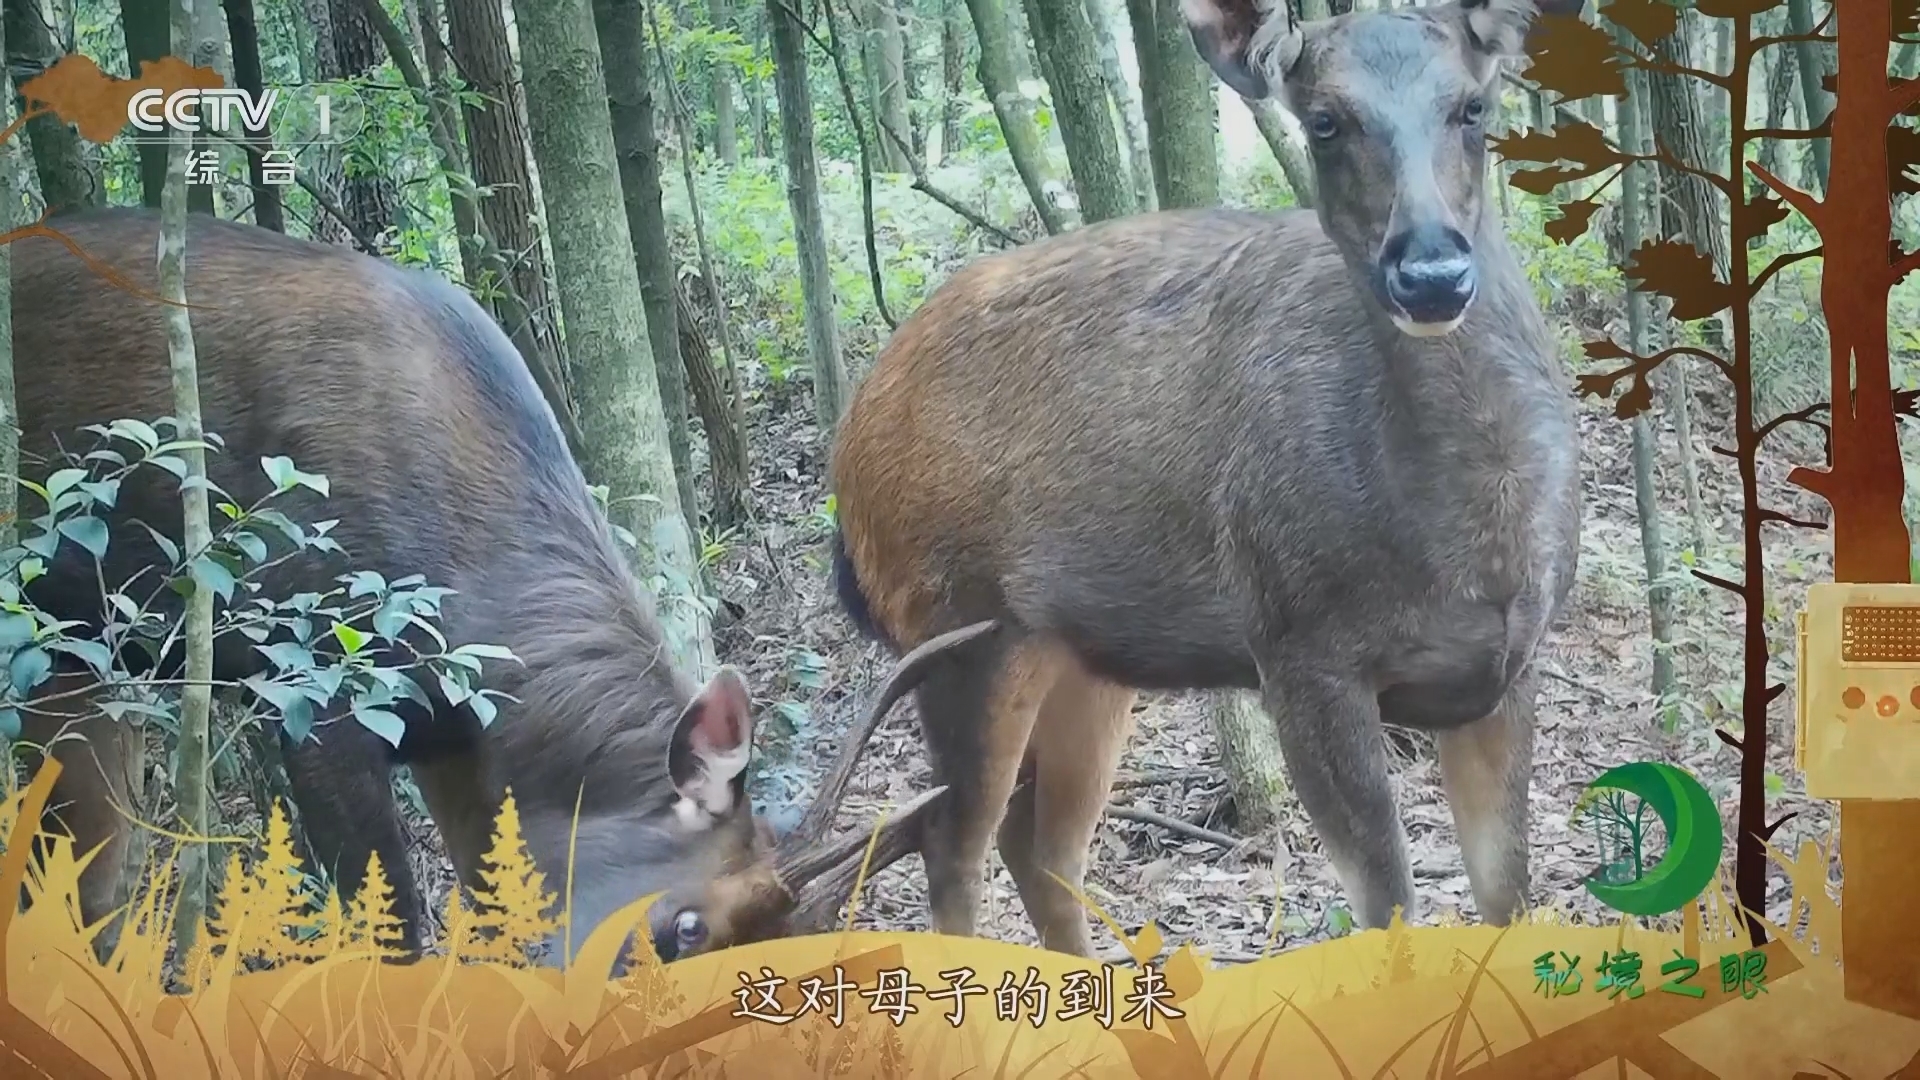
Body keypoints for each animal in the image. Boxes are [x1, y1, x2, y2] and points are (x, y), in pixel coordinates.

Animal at [826, 0, 1586, 958]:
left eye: (1473, 107)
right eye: (1323, 120)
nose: (1430, 273)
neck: (1472, 545)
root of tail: (849, 441)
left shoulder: (1512, 665)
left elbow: (1507, 899)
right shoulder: (1299, 650)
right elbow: (1388, 906)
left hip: (1081, 657)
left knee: (1039, 845)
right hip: (955, 629)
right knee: (949, 849)